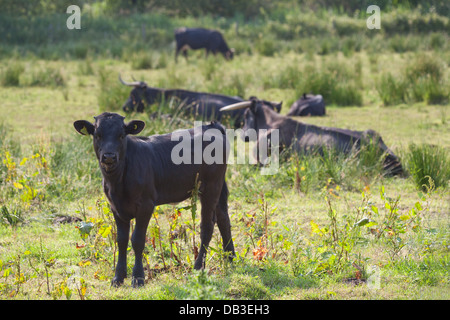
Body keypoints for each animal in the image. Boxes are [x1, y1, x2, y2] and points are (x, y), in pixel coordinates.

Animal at [73, 112, 236, 288]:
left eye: (121, 135)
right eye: (97, 135)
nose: (109, 157)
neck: (117, 182)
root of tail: (211, 126)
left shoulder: (146, 205)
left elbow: (137, 239)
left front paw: (138, 277)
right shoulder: (116, 207)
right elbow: (121, 240)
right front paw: (118, 277)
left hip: (211, 187)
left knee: (207, 225)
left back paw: (199, 267)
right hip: (218, 186)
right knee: (223, 218)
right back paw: (231, 258)